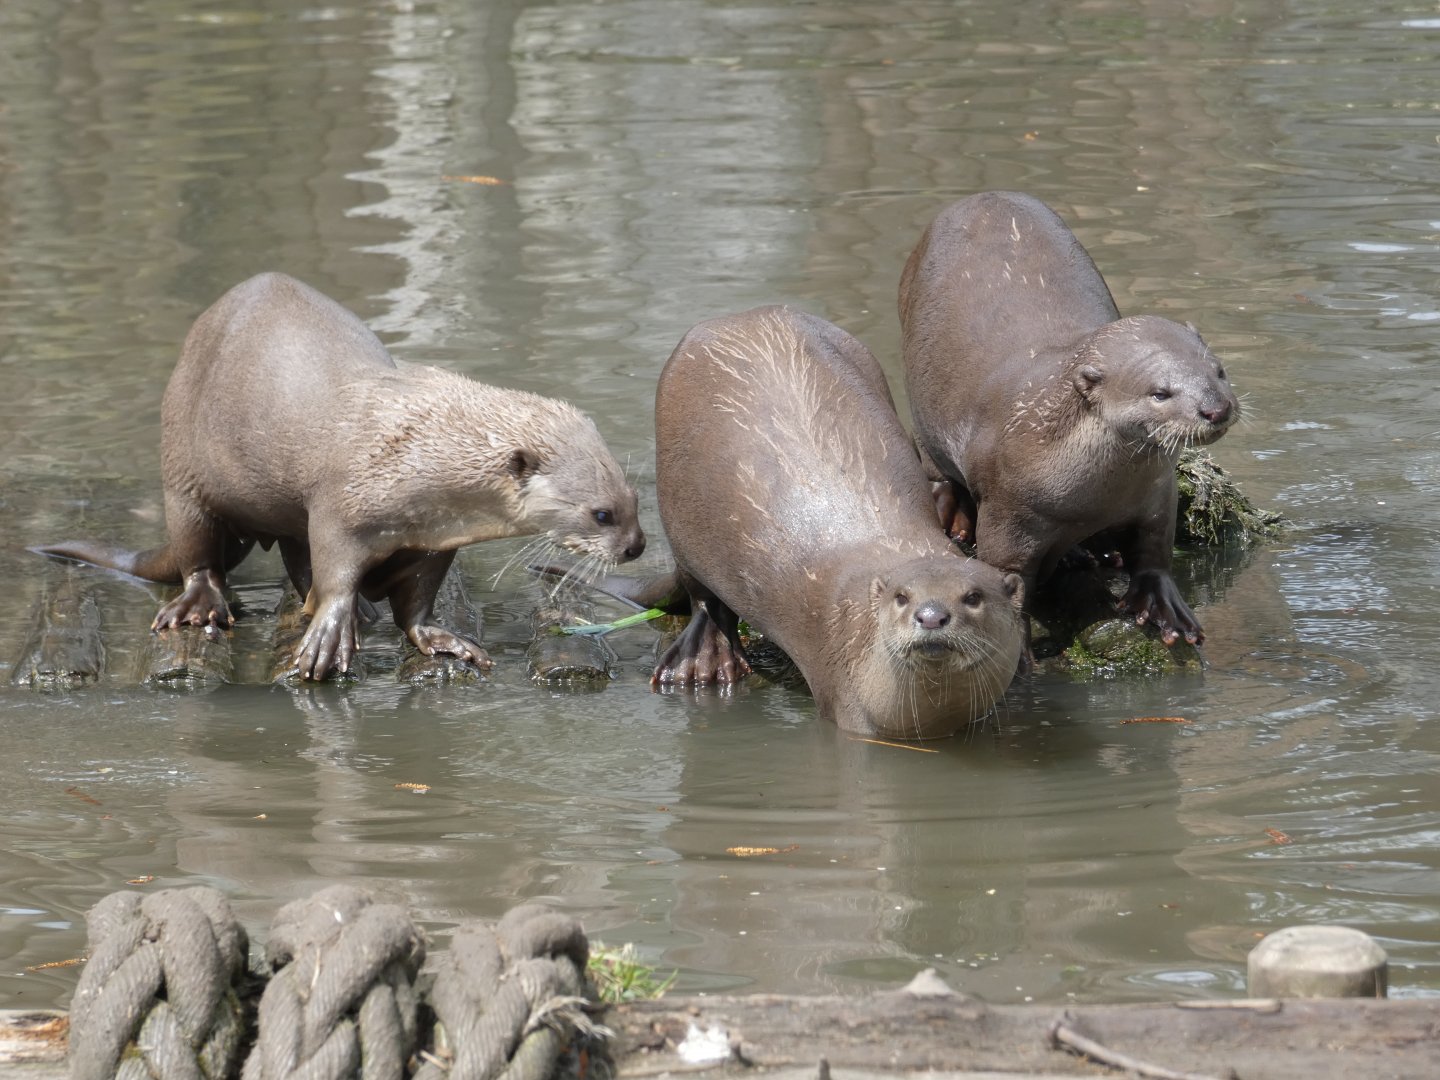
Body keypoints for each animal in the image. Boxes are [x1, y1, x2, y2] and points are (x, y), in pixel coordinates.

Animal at [36, 272, 644, 680]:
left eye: (635, 499)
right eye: (601, 514)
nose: (636, 546)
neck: (422, 449)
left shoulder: (435, 540)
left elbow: (416, 600)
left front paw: (438, 637)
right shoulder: (340, 506)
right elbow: (335, 571)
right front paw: (329, 634)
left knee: (292, 551)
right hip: (183, 471)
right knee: (200, 555)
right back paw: (199, 604)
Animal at [595, 306, 1025, 741]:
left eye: (972, 596)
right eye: (902, 597)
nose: (932, 615)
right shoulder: (846, 704)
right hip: (680, 521)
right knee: (702, 596)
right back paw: (703, 663)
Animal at [899, 191, 1239, 646]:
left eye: (1218, 371)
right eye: (1160, 393)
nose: (1216, 408)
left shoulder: (1157, 493)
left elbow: (1153, 549)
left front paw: (1161, 602)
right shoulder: (1007, 517)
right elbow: (1006, 575)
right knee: (935, 469)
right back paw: (953, 518)